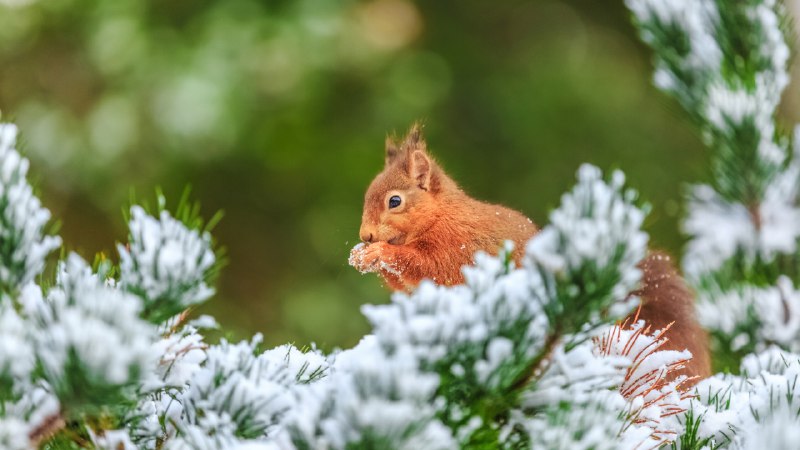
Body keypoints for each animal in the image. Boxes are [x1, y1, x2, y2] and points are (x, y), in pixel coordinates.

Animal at [349, 124, 711, 381]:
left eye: (395, 201)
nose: (365, 235)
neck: (441, 217)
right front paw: (359, 255)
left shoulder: (457, 249)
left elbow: (424, 266)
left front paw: (376, 253)